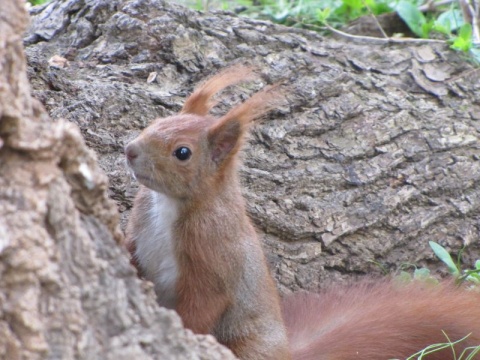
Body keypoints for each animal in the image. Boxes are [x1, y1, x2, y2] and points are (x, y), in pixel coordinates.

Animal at [125, 66, 480, 358]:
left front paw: (182, 333)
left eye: (182, 152)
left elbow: (202, 305)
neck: (168, 203)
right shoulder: (142, 221)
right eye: (156, 123)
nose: (130, 150)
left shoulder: (213, 255)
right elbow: (131, 250)